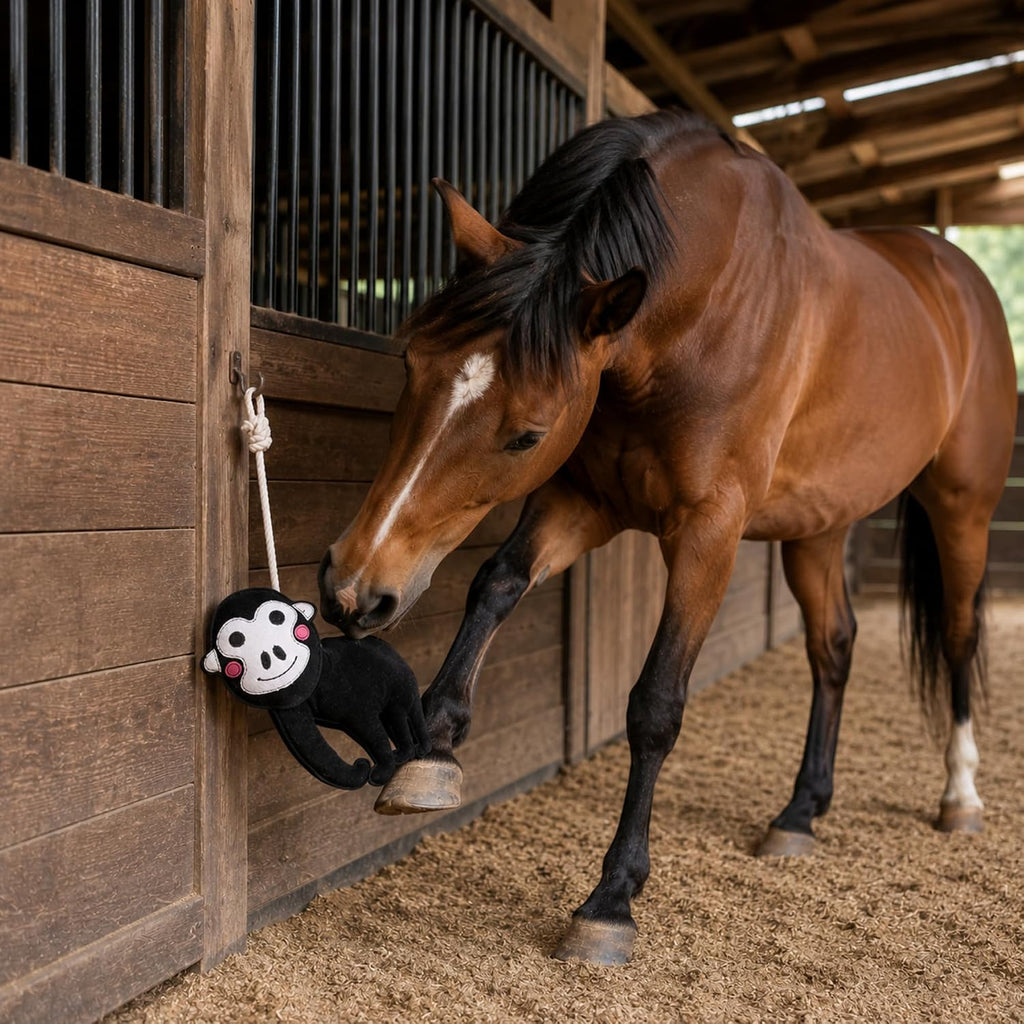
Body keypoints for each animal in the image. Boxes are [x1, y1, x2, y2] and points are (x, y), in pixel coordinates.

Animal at [318, 111, 1017, 966]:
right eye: (410, 365)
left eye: (527, 435)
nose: (353, 588)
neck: (706, 310)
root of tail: (960, 280)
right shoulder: (582, 501)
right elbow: (497, 586)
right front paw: (432, 751)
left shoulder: (708, 531)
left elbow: (655, 703)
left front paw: (612, 900)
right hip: (820, 526)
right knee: (834, 646)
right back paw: (801, 811)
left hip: (962, 508)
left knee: (956, 635)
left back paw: (960, 795)